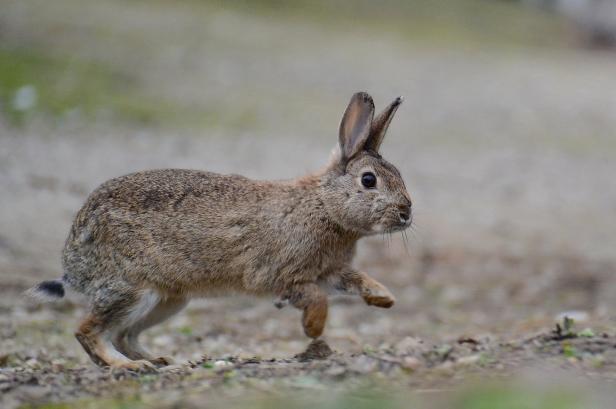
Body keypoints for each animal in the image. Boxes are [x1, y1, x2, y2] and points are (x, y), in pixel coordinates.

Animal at [30, 91, 414, 370]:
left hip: (168, 301)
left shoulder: (329, 271)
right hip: (131, 289)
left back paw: (161, 360)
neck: (323, 205)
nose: (407, 212)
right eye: (369, 180)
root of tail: (73, 260)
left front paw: (383, 298)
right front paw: (313, 329)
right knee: (87, 331)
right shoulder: (277, 274)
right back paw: (127, 367)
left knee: (124, 335)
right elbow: (315, 298)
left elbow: (355, 279)